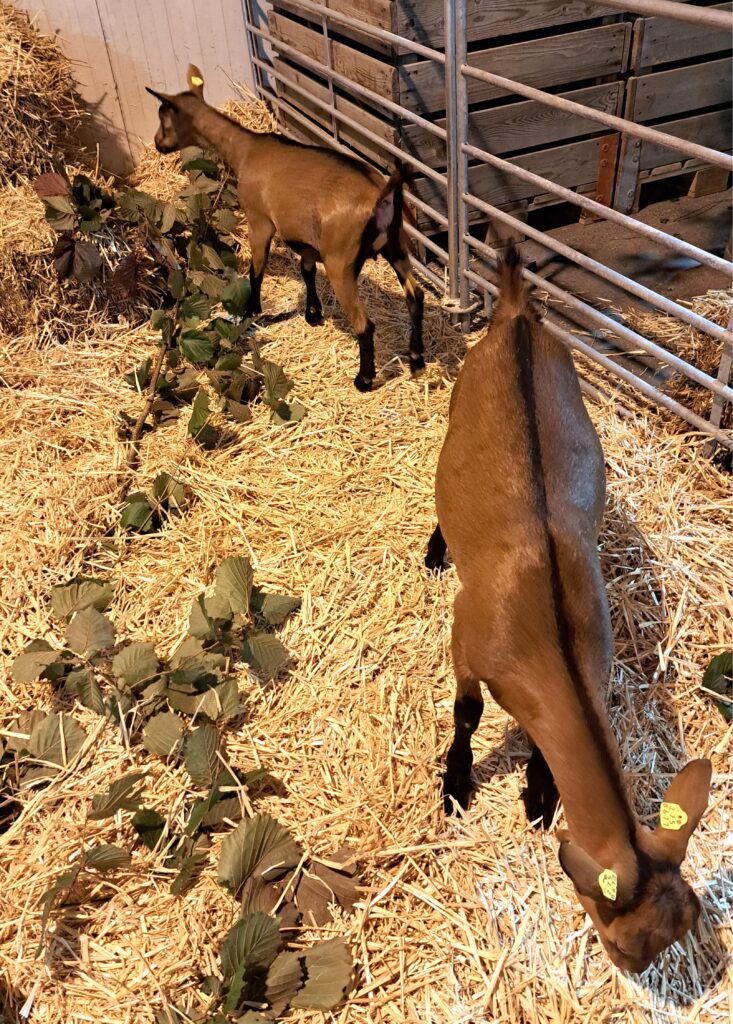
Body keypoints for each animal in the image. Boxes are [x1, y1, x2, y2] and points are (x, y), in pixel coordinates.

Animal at [146, 66, 424, 392]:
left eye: (162, 114)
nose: (158, 144)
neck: (245, 150)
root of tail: (380, 195)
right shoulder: (305, 239)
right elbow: (307, 271)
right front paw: (313, 314)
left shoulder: (259, 220)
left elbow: (256, 270)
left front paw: (251, 311)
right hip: (397, 245)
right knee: (416, 296)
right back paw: (417, 360)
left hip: (341, 261)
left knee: (364, 324)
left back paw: (364, 379)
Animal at [427, 246, 711, 973]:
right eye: (621, 947)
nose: (639, 974)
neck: (546, 631)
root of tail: (515, 313)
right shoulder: (465, 639)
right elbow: (467, 713)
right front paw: (456, 784)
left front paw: (537, 792)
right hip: (456, 406)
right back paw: (436, 549)